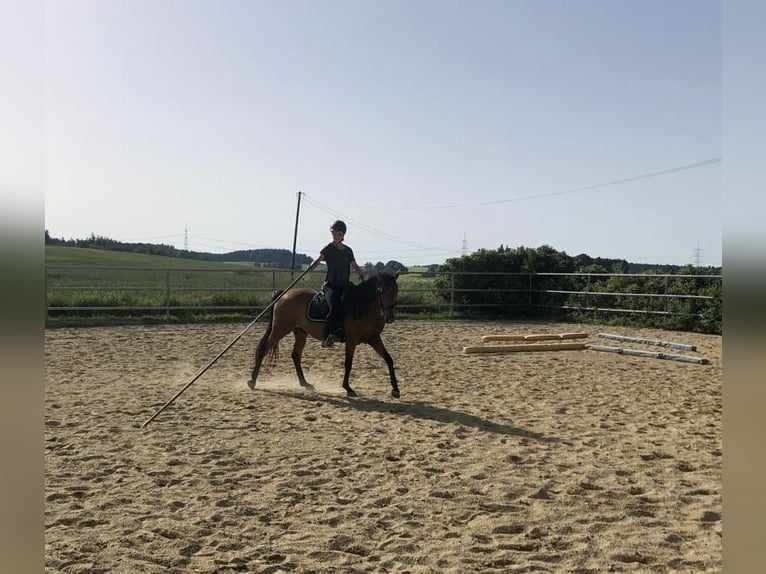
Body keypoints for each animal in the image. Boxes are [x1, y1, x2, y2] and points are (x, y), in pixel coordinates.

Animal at [249, 272, 404, 398]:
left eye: (396, 291)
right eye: (381, 291)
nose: (389, 317)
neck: (361, 306)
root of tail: (284, 294)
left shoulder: (373, 338)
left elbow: (388, 359)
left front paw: (395, 389)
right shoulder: (351, 340)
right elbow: (348, 363)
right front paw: (348, 388)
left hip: (300, 332)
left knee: (295, 355)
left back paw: (305, 383)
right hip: (280, 329)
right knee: (264, 349)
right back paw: (252, 381)